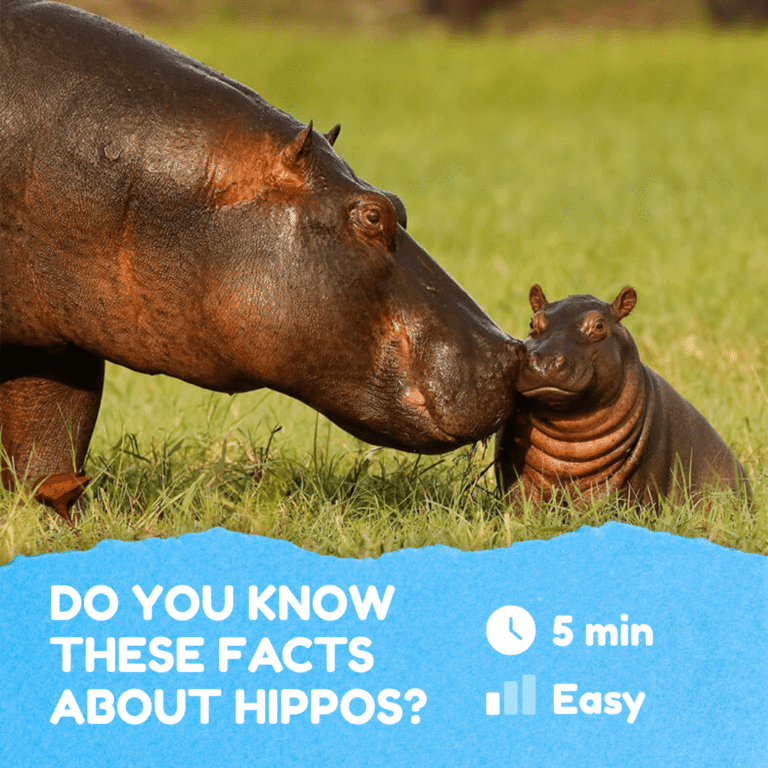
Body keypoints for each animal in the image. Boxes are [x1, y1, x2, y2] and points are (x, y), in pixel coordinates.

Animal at [495, 285, 751, 508]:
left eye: (599, 325)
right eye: (532, 323)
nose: (545, 361)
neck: (567, 432)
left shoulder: (620, 480)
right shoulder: (515, 470)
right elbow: (520, 503)